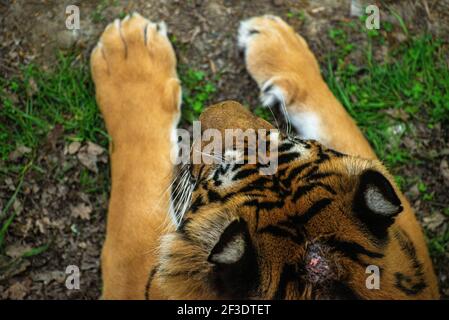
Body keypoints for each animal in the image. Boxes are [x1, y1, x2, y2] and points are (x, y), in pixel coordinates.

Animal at [90, 11, 438, 298]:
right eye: (281, 138)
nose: (215, 109)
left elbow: (136, 184)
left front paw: (129, 52)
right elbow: (337, 119)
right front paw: (276, 42)